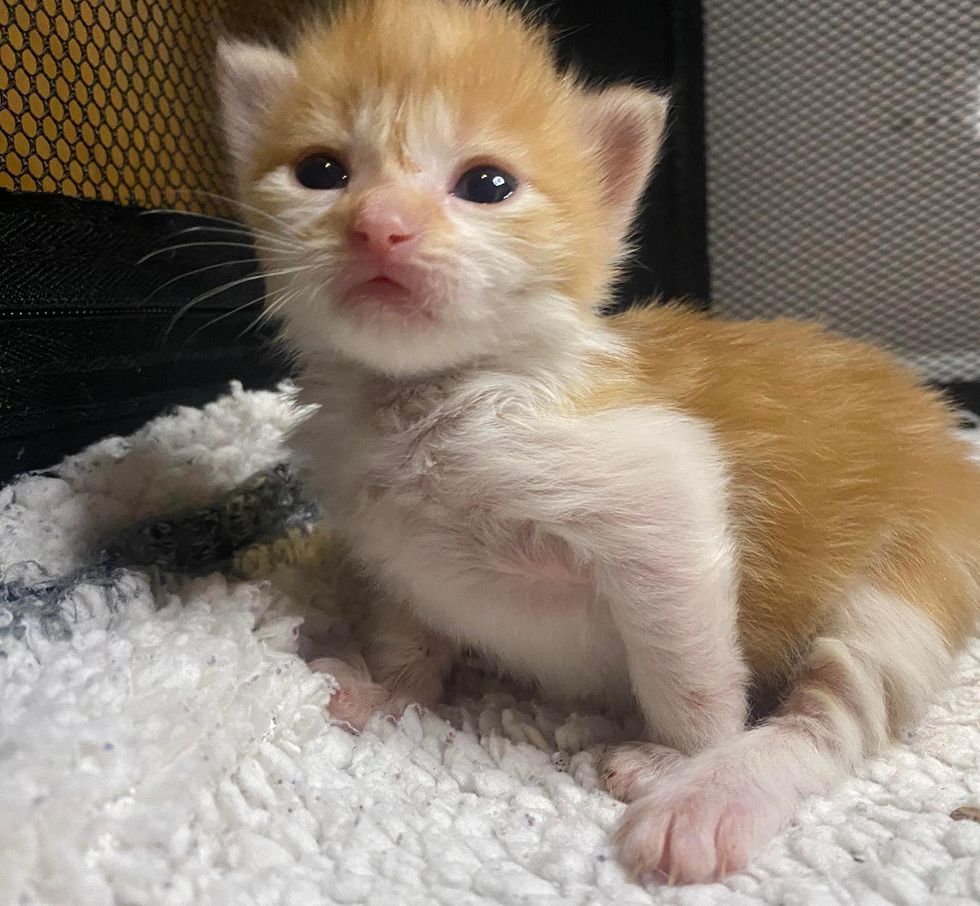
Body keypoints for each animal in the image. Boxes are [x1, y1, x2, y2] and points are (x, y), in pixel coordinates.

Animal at [214, 1, 980, 884]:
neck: (433, 398)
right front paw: (389, 692)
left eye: (487, 185)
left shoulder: (661, 497)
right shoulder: (389, 547)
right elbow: (408, 628)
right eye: (321, 171)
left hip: (911, 584)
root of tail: (950, 437)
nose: (381, 227)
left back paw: (711, 800)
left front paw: (679, 756)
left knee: (830, 720)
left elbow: (685, 663)